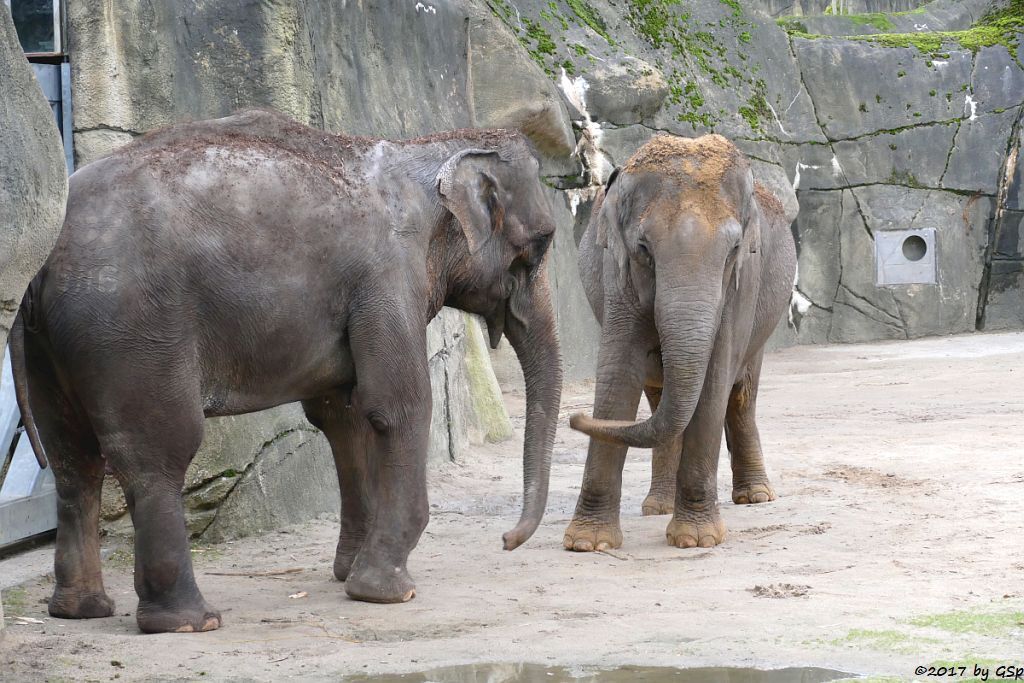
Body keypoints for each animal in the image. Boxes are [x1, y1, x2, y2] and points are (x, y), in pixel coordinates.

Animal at [9, 109, 569, 634]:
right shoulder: (387, 277)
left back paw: (80, 610)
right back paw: (191, 621)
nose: (506, 541)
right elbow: (398, 406)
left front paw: (348, 573)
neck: (429, 148)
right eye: (540, 245)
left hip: (52, 344)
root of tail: (43, 265)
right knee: (157, 452)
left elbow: (343, 415)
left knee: (72, 458)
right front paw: (386, 592)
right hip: (131, 329)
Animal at [565, 136, 794, 552]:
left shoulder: (742, 285)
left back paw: (755, 497)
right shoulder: (616, 272)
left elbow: (716, 380)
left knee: (742, 394)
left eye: (733, 250)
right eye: (643, 248)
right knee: (660, 400)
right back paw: (658, 506)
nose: (575, 418)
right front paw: (587, 544)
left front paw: (696, 540)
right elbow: (619, 372)